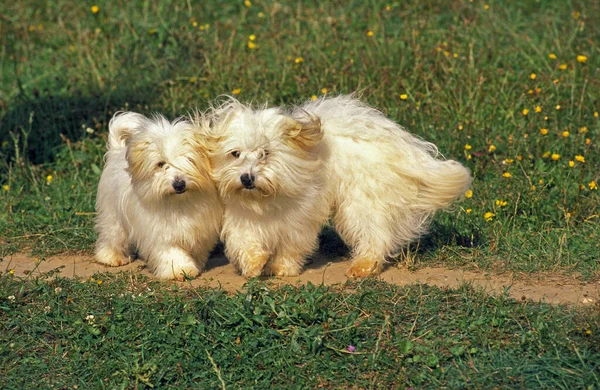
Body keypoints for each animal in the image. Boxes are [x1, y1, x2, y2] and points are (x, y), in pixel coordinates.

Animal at [95, 111, 221, 278]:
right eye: (161, 164)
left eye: (189, 160)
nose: (179, 184)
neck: (178, 202)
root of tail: (116, 150)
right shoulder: (161, 233)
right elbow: (172, 252)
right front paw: (180, 269)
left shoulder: (200, 230)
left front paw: (195, 264)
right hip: (113, 214)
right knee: (113, 235)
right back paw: (111, 257)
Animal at [202, 94, 474, 278]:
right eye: (235, 154)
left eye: (264, 153)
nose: (246, 178)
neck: (267, 197)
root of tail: (399, 144)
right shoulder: (240, 215)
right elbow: (244, 240)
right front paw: (255, 264)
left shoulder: (299, 218)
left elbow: (292, 245)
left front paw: (283, 268)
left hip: (361, 202)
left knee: (375, 234)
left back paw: (364, 265)